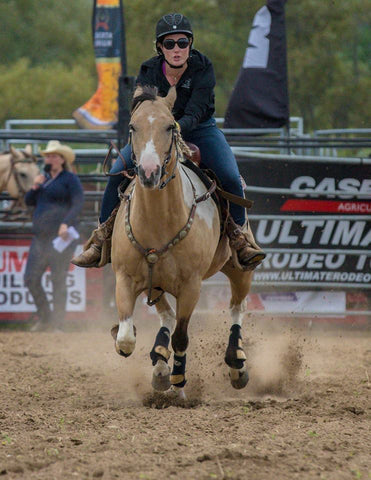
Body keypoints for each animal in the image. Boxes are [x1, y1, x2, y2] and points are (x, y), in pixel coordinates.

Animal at [110, 85, 254, 398]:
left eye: (170, 126)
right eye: (132, 126)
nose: (149, 172)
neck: (158, 222)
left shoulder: (191, 286)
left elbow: (181, 337)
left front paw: (178, 383)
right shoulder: (125, 278)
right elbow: (125, 338)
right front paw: (161, 370)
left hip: (240, 268)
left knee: (237, 307)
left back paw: (237, 363)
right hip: (156, 282)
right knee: (166, 314)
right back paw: (159, 361)